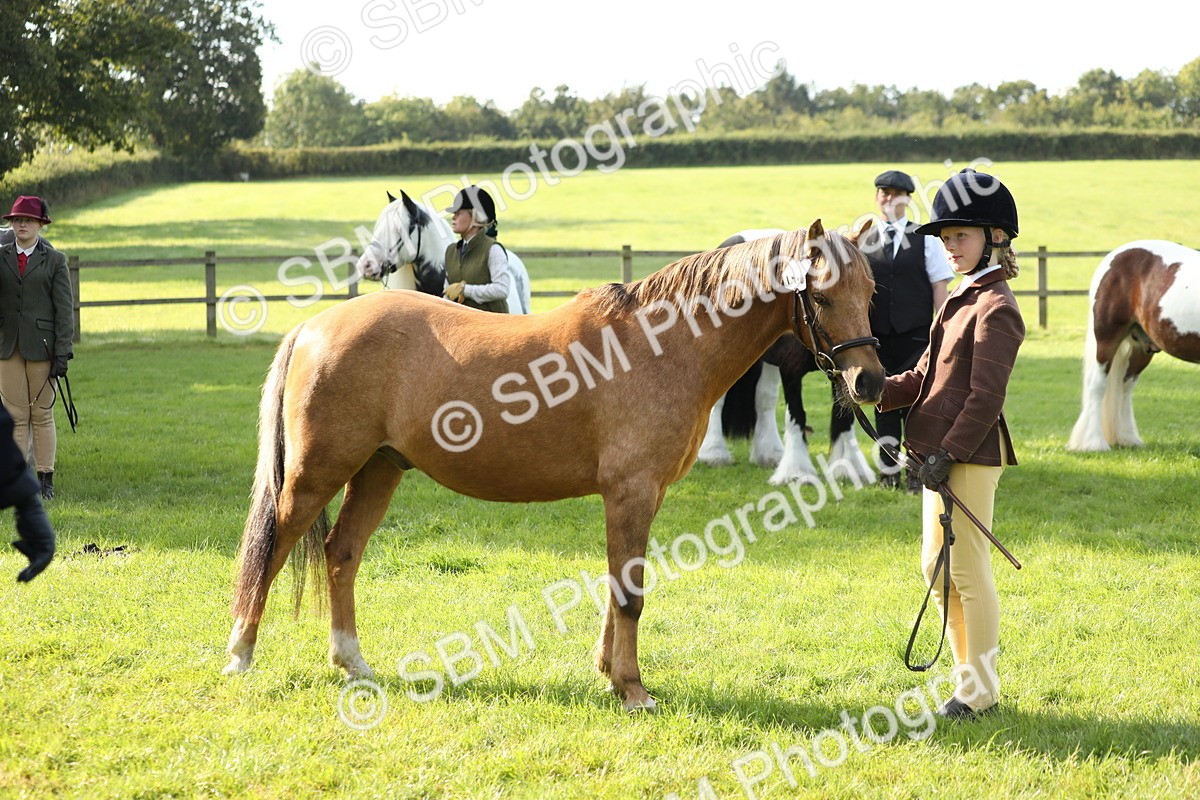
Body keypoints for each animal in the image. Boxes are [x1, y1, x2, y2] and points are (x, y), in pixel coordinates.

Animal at [697, 229, 874, 485]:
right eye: (819, 297)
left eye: (869, 291)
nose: (872, 381)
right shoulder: (792, 372)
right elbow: (797, 415)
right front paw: (796, 471)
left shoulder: (843, 372)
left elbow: (844, 417)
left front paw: (848, 467)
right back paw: (714, 453)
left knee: (765, 399)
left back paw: (768, 453)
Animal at [1068, 240, 1200, 451]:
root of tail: (1113, 257)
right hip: (1107, 339)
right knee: (1097, 385)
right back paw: (1094, 443)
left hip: (1141, 348)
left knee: (1125, 386)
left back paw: (1127, 438)